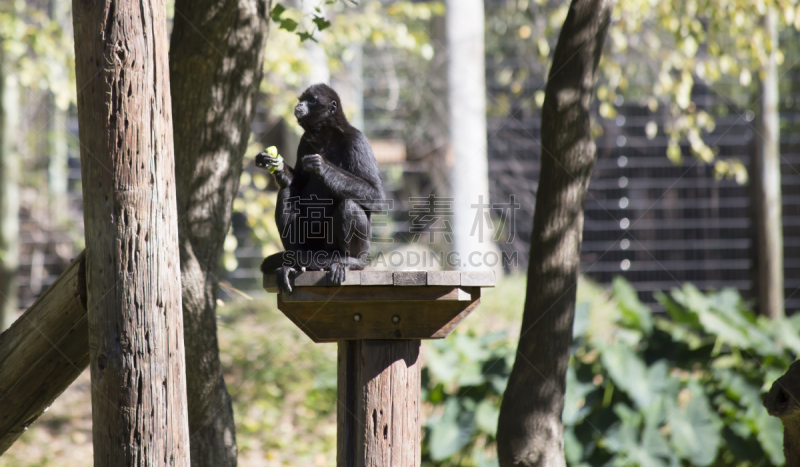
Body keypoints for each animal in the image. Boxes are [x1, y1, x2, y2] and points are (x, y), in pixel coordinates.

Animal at [255, 84, 382, 292]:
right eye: (302, 99)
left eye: (312, 100)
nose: (300, 105)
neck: (326, 137)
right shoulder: (305, 140)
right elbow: (297, 182)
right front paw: (275, 164)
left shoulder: (357, 141)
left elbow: (377, 196)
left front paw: (321, 165)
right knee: (287, 192)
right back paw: (294, 262)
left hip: (350, 247)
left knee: (349, 204)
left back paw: (352, 261)